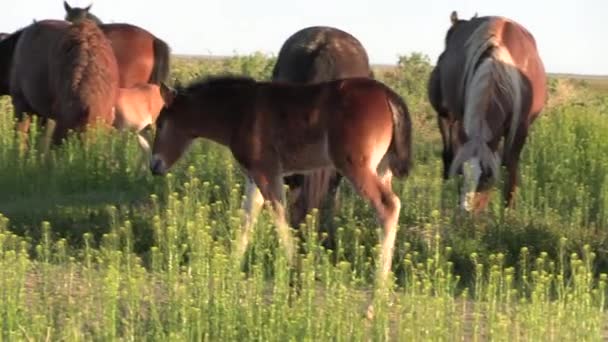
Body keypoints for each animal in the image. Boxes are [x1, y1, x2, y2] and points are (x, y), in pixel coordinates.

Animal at [148, 75, 414, 316]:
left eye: (161, 124)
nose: (154, 166)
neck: (239, 112)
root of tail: (388, 96)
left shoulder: (267, 173)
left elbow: (278, 217)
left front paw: (297, 282)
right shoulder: (255, 176)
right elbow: (247, 220)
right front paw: (229, 274)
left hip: (355, 166)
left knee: (388, 206)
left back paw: (374, 303)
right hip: (382, 169)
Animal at [428, 10, 548, 211]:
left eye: (487, 176)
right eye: (462, 173)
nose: (466, 212)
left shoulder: (520, 128)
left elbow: (510, 163)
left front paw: (509, 209)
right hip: (447, 116)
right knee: (448, 152)